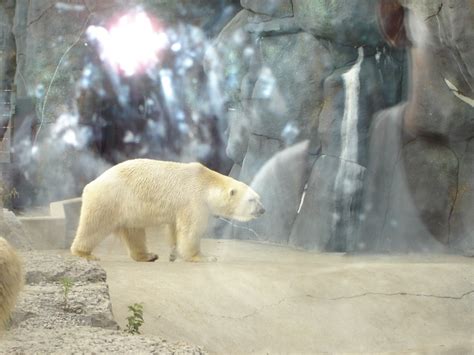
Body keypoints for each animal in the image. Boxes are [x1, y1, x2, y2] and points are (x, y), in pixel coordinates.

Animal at [71, 160, 264, 262]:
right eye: (252, 200)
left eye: (258, 197)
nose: (263, 209)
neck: (206, 183)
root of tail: (91, 184)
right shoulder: (194, 201)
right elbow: (191, 231)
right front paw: (204, 257)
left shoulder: (179, 208)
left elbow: (174, 228)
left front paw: (173, 253)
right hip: (110, 199)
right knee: (94, 226)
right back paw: (84, 253)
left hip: (128, 209)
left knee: (134, 232)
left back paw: (148, 255)